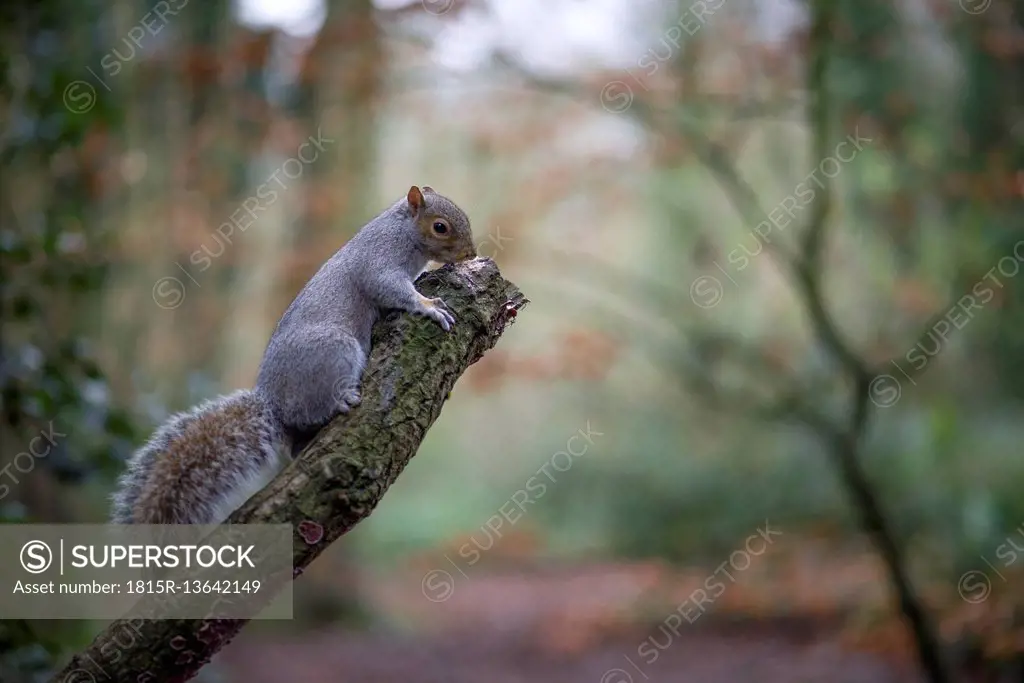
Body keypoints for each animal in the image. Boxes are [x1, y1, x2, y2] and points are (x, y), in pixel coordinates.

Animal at [112, 187, 475, 524]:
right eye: (440, 227)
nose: (471, 253)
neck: (403, 231)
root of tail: (273, 401)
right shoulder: (379, 259)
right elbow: (390, 288)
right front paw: (428, 305)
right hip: (335, 349)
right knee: (311, 409)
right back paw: (340, 401)